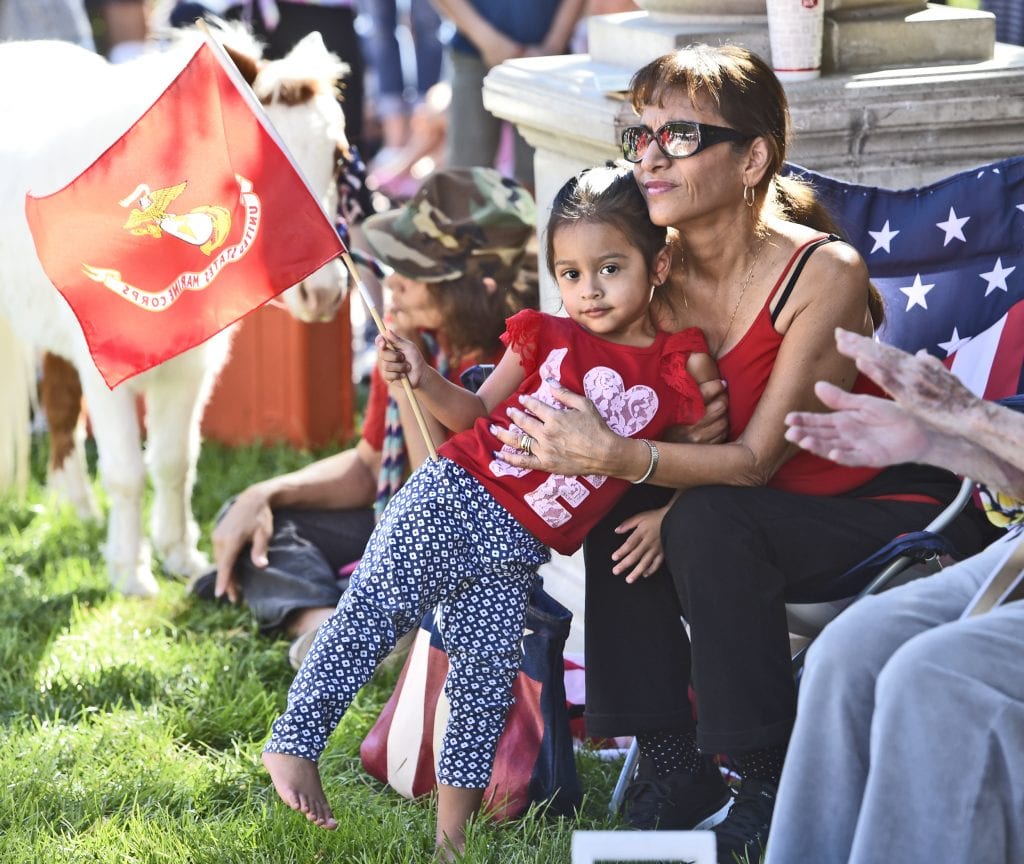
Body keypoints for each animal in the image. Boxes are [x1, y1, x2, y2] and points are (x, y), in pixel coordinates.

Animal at [0, 25, 352, 593]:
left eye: (338, 158)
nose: (322, 296)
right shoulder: (107, 375)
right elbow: (126, 473)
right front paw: (130, 573)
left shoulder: (191, 368)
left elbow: (173, 461)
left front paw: (179, 555)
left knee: (59, 406)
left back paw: (77, 508)